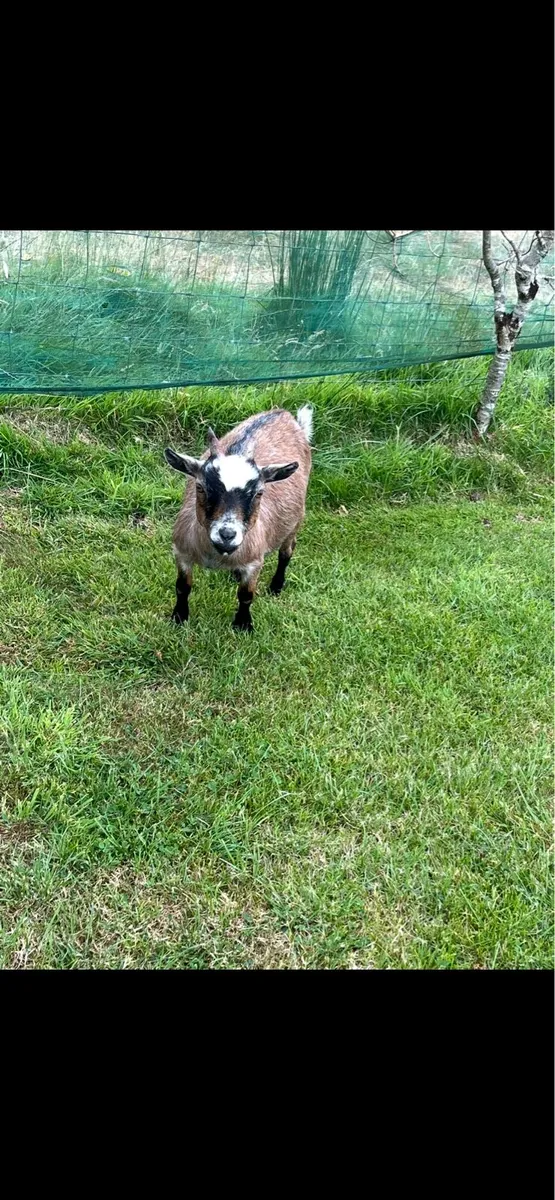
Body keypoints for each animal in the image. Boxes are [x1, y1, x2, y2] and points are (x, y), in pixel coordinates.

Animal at [164, 405, 313, 632]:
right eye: (200, 487)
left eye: (259, 493)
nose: (227, 534)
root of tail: (284, 414)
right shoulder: (181, 552)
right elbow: (182, 587)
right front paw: (179, 617)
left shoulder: (254, 562)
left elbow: (246, 595)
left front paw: (243, 624)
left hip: (296, 522)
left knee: (286, 553)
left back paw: (276, 586)